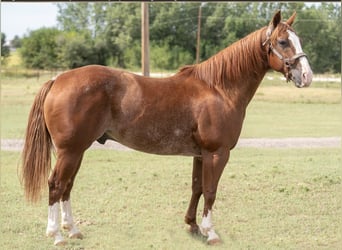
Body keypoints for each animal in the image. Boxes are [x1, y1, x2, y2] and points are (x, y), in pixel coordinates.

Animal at [20, 10, 312, 245]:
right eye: (283, 42)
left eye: (298, 40)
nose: (307, 76)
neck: (219, 88)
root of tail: (58, 80)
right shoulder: (217, 153)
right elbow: (210, 191)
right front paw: (211, 232)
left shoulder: (200, 154)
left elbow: (197, 187)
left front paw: (193, 226)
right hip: (70, 151)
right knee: (56, 185)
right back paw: (56, 235)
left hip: (77, 151)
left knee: (67, 186)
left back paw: (73, 230)